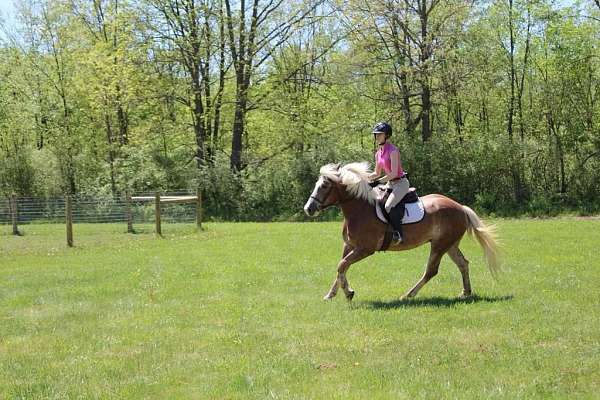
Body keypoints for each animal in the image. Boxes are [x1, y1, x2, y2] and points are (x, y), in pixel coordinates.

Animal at [302, 162, 500, 300]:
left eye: (324, 186)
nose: (308, 209)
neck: (359, 209)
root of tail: (459, 207)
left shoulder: (365, 249)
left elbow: (342, 265)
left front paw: (349, 292)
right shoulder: (349, 245)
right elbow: (341, 267)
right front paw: (331, 294)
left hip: (439, 245)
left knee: (431, 271)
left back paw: (408, 295)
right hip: (450, 244)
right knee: (463, 264)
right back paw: (465, 292)